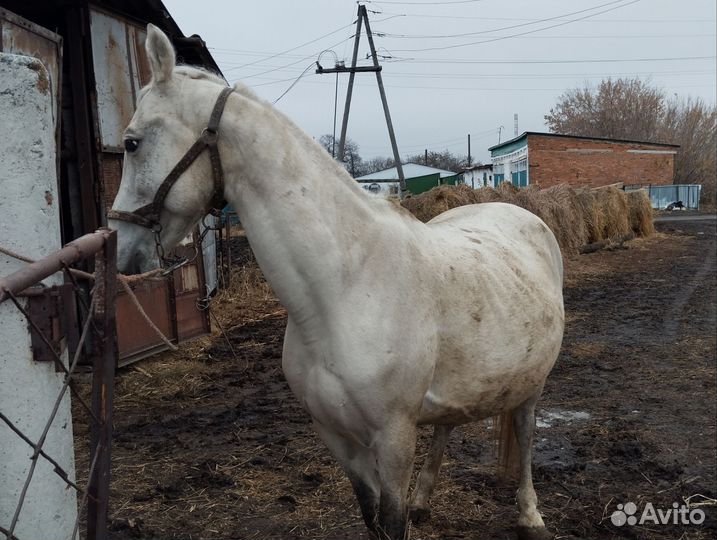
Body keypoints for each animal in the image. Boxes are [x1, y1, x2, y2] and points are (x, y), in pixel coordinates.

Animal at [109, 24, 565, 540]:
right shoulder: (338, 437)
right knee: (448, 426)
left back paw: (530, 515)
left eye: (131, 143)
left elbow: (392, 520)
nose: (123, 252)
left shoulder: (393, 439)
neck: (344, 290)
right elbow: (370, 516)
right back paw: (426, 500)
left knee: (525, 435)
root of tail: (521, 212)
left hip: (533, 382)